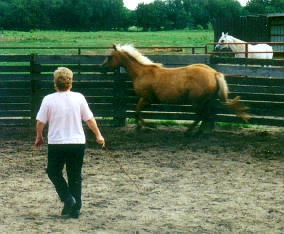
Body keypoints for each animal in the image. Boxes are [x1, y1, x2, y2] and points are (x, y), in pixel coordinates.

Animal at [101, 44, 250, 136]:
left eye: (109, 57)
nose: (101, 68)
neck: (142, 72)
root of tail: (214, 73)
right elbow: (136, 111)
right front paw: (140, 127)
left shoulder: (147, 99)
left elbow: (137, 110)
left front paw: (148, 126)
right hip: (205, 102)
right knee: (206, 116)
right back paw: (197, 132)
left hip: (196, 102)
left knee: (201, 116)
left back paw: (191, 132)